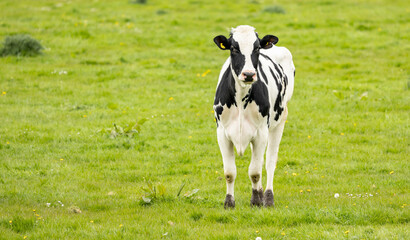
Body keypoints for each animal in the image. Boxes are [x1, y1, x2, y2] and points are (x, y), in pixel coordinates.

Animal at [211, 24, 294, 208]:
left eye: (256, 48)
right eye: (234, 48)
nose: (248, 74)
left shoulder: (261, 132)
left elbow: (255, 171)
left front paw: (256, 200)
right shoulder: (222, 133)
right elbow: (229, 172)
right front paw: (229, 202)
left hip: (279, 121)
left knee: (269, 161)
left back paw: (268, 197)